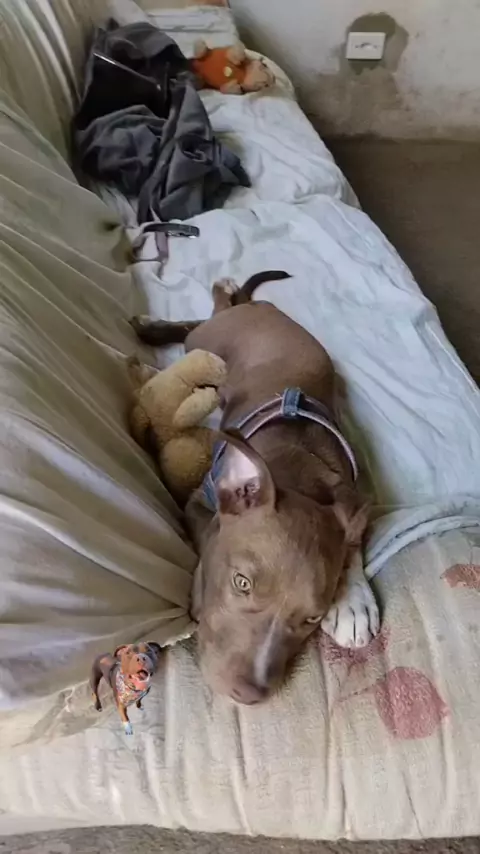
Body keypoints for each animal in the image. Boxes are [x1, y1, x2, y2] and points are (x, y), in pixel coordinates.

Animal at [131, 271, 380, 705]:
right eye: (241, 583)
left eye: (312, 617)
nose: (250, 693)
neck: (293, 466)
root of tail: (256, 307)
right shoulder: (198, 503)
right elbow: (206, 539)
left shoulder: (350, 496)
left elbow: (351, 538)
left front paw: (352, 601)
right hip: (211, 339)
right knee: (205, 317)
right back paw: (171, 319)